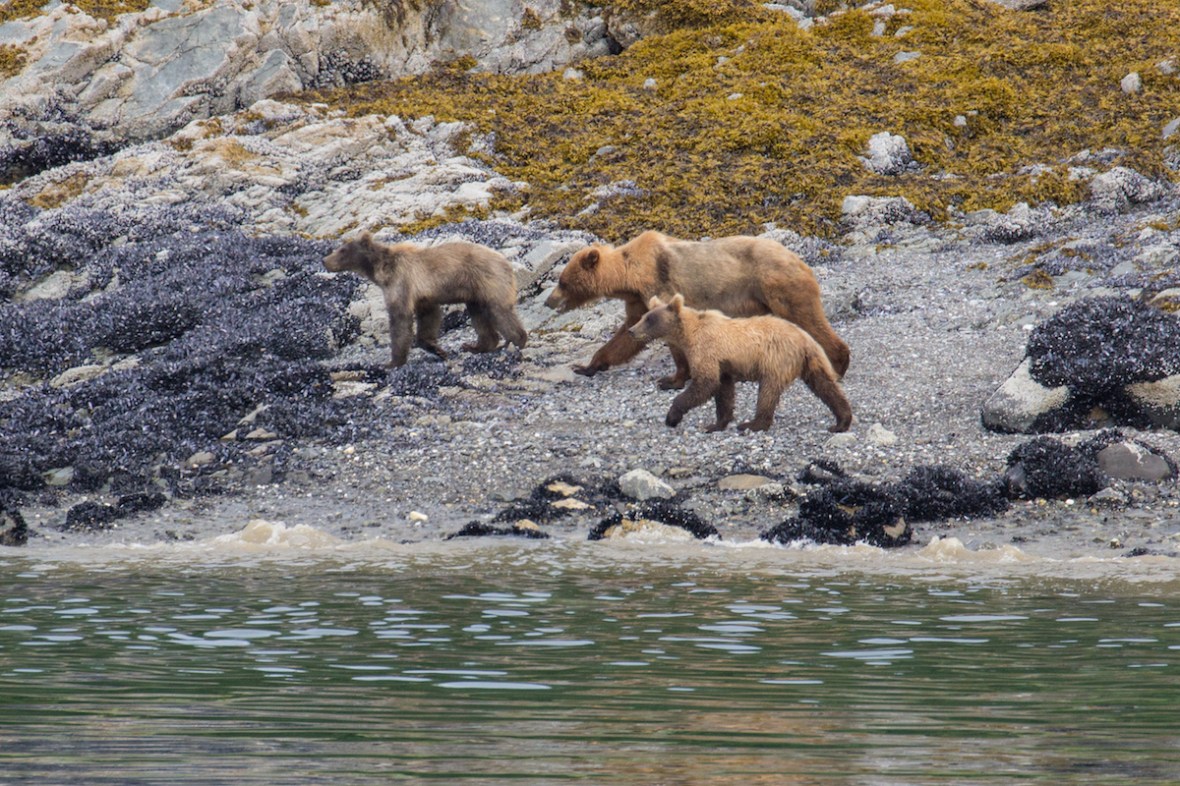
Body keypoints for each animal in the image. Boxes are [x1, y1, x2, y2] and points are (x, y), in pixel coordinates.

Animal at [323, 232, 527, 367]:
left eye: (342, 250)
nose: (325, 260)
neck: (382, 270)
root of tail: (506, 261)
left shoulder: (401, 282)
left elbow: (400, 319)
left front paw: (392, 362)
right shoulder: (423, 296)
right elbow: (429, 317)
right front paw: (438, 349)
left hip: (489, 282)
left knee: (499, 310)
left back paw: (516, 341)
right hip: (475, 294)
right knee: (479, 316)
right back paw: (475, 346)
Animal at [545, 230, 849, 388]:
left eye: (562, 281)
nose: (549, 301)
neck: (630, 276)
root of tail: (802, 260)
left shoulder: (660, 286)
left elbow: (670, 332)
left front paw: (672, 378)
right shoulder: (638, 301)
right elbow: (627, 335)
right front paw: (587, 365)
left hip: (777, 284)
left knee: (806, 318)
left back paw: (839, 361)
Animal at [628, 294, 852, 433]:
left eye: (649, 319)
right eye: (643, 316)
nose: (631, 330)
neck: (688, 334)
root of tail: (804, 338)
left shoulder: (706, 351)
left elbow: (705, 384)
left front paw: (672, 416)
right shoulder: (723, 363)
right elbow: (724, 390)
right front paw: (716, 423)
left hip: (776, 359)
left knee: (768, 391)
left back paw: (752, 424)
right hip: (810, 361)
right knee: (825, 386)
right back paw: (841, 422)